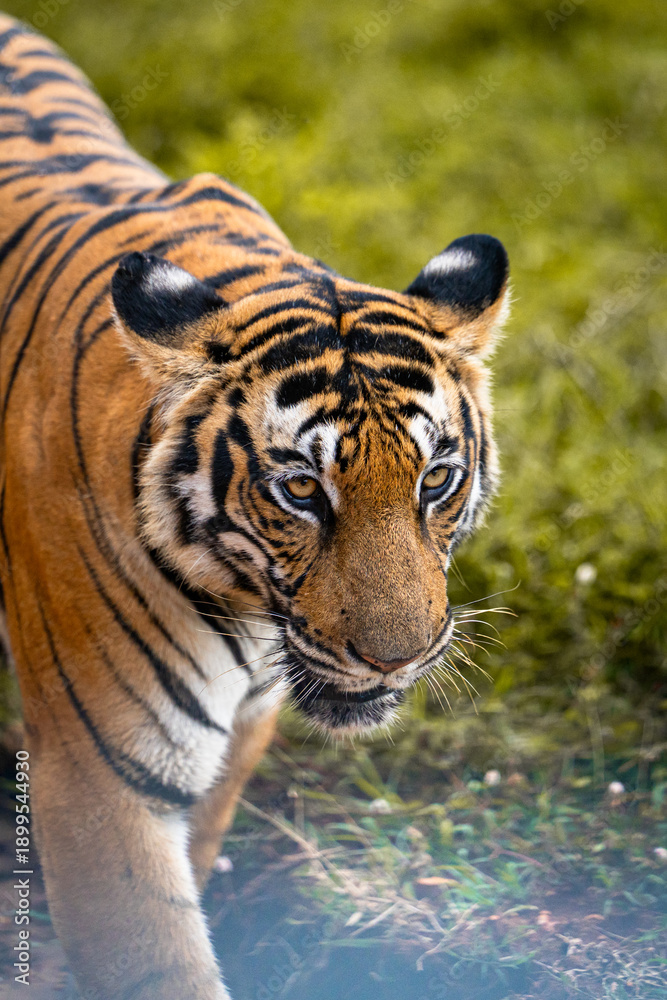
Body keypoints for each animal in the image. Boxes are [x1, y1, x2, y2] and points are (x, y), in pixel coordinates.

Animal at [0, 13, 510, 1000]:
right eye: (301, 489)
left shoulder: (236, 734)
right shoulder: (98, 773)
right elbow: (154, 957)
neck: (242, 611)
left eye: (435, 479)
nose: (397, 658)